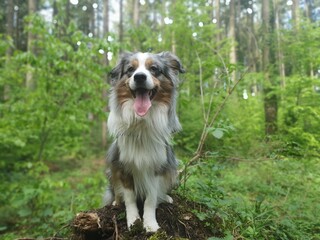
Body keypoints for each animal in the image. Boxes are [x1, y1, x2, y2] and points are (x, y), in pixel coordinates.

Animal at [104, 51, 184, 232]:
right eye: (130, 70)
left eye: (153, 69)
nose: (139, 77)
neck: (142, 122)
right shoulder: (123, 165)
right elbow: (130, 198)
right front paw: (134, 222)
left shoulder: (157, 166)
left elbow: (151, 198)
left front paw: (150, 224)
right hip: (111, 171)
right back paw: (115, 202)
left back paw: (166, 197)